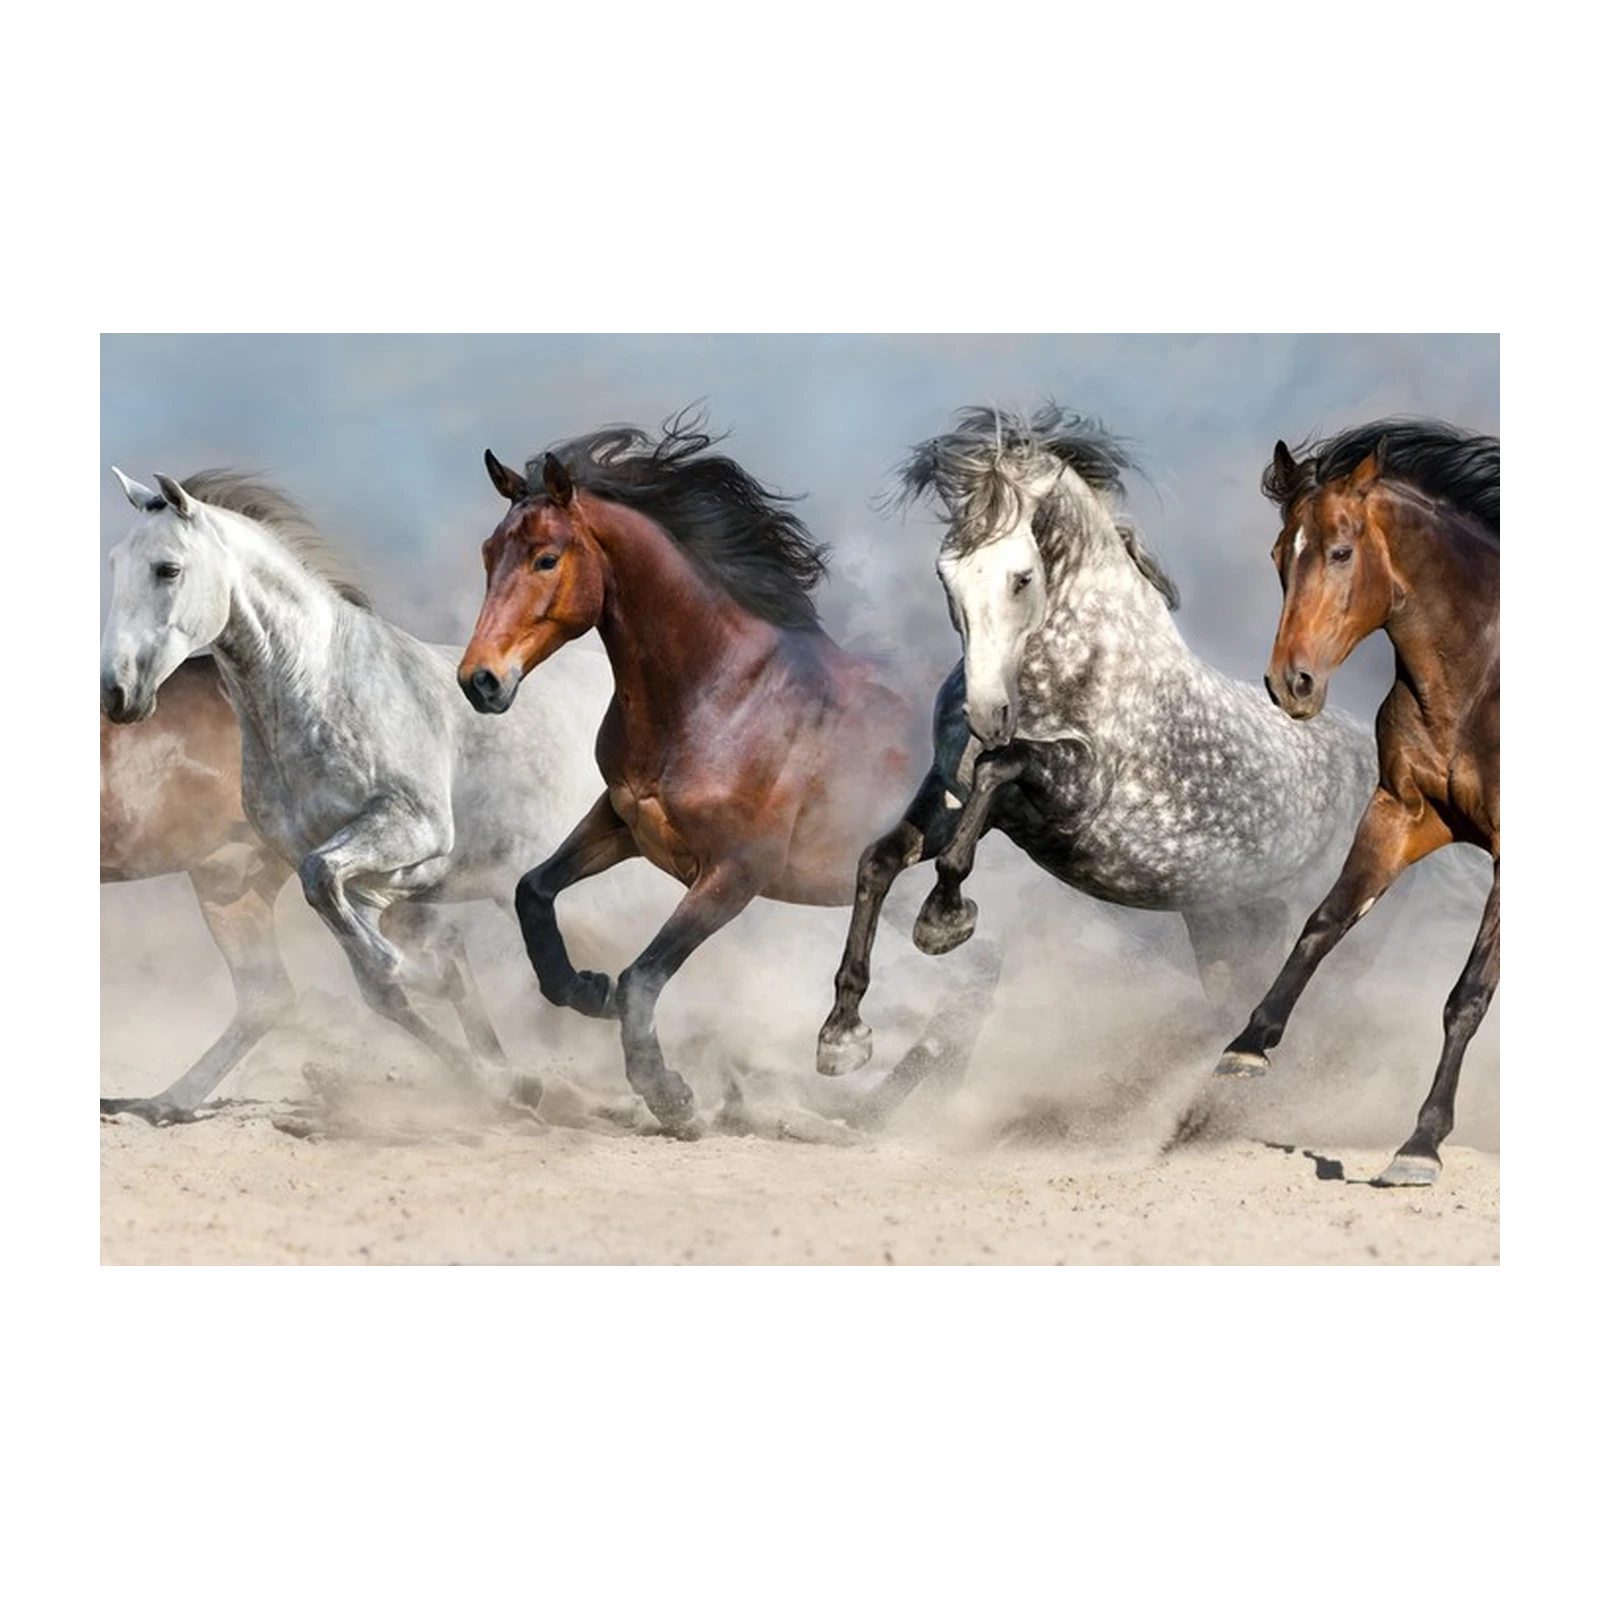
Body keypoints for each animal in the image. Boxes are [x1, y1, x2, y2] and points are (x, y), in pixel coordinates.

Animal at [456, 413, 996, 1136]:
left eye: (546, 557)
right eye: (490, 554)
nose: (480, 681)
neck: (719, 694)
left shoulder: (736, 872)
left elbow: (642, 979)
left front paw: (671, 1097)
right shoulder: (625, 822)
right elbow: (532, 893)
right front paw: (585, 989)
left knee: (978, 982)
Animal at [815, 402, 1381, 1094]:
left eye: (1022, 577)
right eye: (946, 573)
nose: (988, 715)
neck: (1073, 657)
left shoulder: (1073, 791)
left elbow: (996, 780)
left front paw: (943, 921)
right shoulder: (951, 792)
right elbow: (878, 861)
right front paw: (841, 1036)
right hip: (1229, 927)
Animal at [1213, 418, 1503, 1186]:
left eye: (1341, 551)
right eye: (1280, 555)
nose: (1291, 684)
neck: (1482, 680)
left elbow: (1468, 995)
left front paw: (1420, 1145)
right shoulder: (1403, 813)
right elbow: (1325, 921)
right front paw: (1248, 1044)